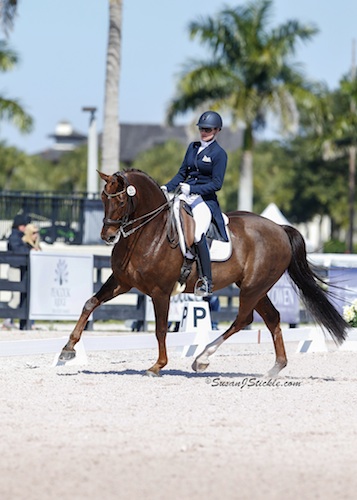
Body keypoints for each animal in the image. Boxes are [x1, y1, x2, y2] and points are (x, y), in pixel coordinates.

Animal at [59, 168, 348, 376]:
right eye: (102, 198)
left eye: (120, 199)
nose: (107, 236)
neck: (148, 233)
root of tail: (280, 228)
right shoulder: (122, 282)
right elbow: (89, 303)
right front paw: (67, 350)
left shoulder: (160, 292)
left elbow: (161, 329)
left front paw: (157, 366)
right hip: (256, 288)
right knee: (273, 319)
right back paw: (275, 368)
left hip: (253, 287)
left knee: (242, 320)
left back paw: (202, 359)